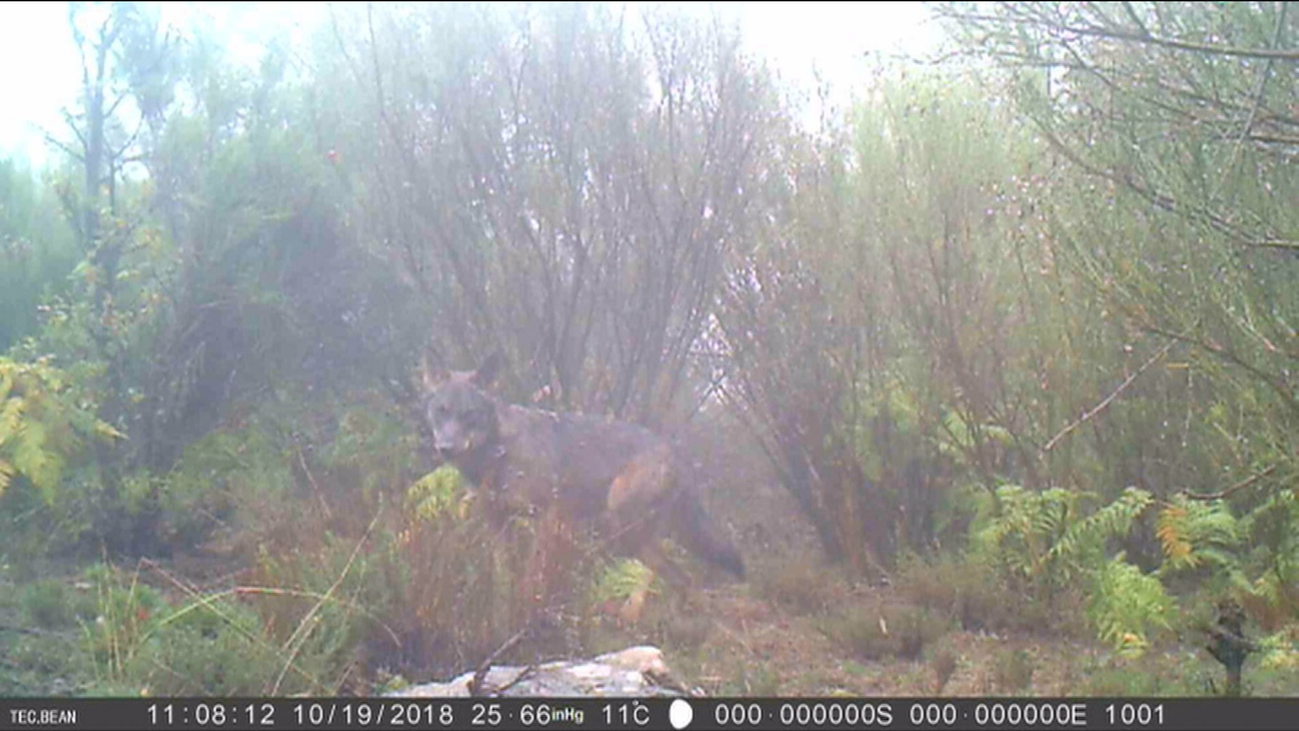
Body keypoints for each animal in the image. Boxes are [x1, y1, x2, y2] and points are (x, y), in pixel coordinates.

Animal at [419, 352, 744, 616]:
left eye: (469, 414)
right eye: (441, 411)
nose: (445, 448)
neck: (499, 456)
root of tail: (676, 451)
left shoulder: (546, 518)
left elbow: (532, 579)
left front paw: (528, 612)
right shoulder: (498, 525)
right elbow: (503, 582)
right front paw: (503, 617)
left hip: (624, 529)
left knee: (679, 577)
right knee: (679, 579)